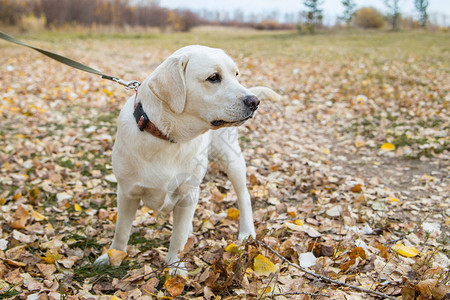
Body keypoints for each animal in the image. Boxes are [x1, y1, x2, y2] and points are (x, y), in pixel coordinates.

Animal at [94, 45, 278, 274]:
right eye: (213, 77)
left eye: (236, 75)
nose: (254, 101)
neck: (167, 137)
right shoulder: (127, 192)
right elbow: (121, 230)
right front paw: (113, 256)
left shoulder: (188, 193)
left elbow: (178, 237)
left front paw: (174, 268)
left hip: (232, 160)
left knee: (243, 196)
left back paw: (246, 231)